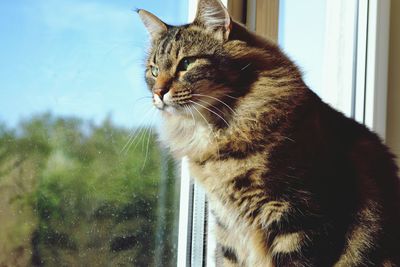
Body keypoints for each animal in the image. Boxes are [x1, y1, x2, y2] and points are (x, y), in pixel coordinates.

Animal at [137, 0, 400, 266]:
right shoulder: (228, 228)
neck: (219, 131)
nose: (158, 93)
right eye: (154, 70)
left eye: (186, 64)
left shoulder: (298, 218)